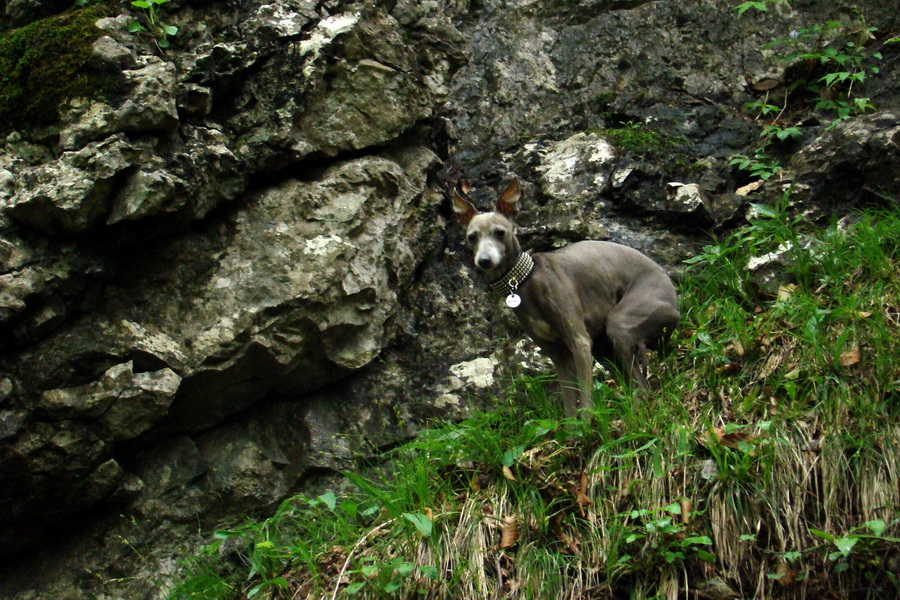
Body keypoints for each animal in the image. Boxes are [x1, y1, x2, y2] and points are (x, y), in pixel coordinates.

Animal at [454, 176, 680, 414]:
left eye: (500, 232)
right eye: (472, 237)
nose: (484, 261)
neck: (526, 279)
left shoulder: (579, 342)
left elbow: (586, 403)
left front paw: (590, 423)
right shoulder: (559, 356)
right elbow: (570, 409)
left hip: (621, 323)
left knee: (642, 387)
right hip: (605, 349)